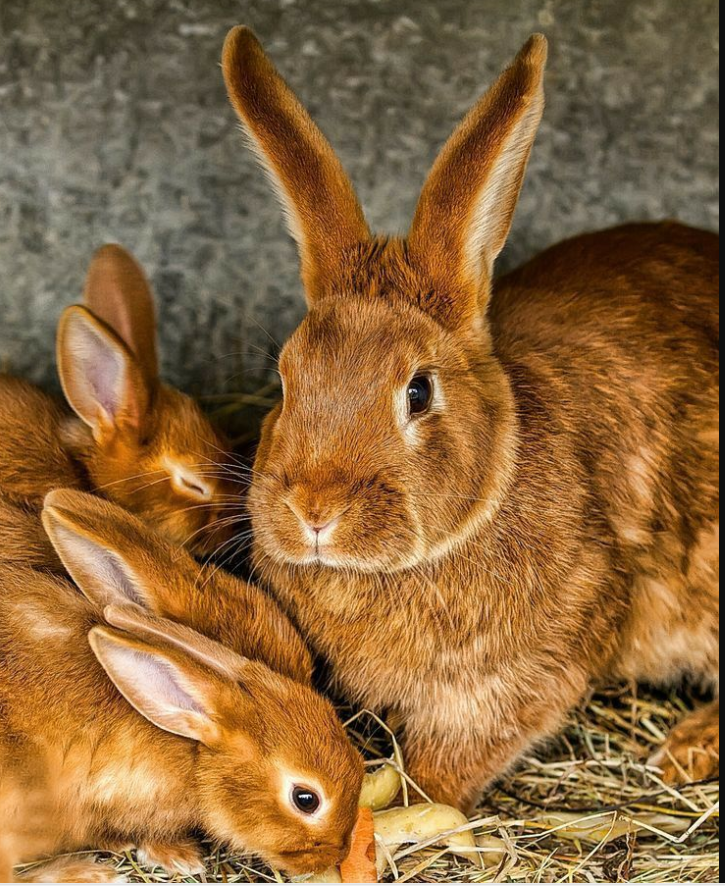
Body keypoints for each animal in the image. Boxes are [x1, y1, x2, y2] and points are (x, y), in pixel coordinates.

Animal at [222, 26, 720, 812]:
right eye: (284, 378)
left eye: (418, 392)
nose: (314, 510)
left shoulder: (524, 676)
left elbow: (450, 766)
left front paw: (407, 806)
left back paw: (687, 747)